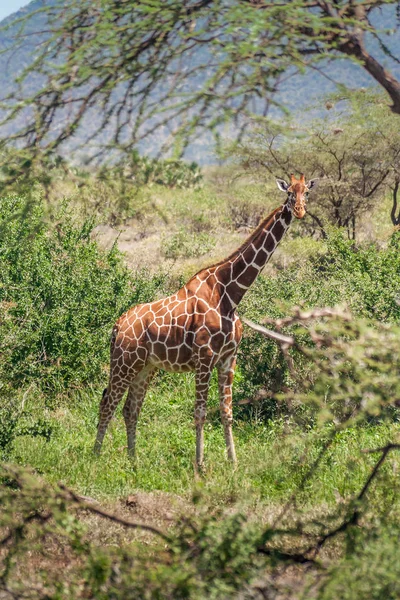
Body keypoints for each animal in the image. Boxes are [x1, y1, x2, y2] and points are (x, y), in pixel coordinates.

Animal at [94, 173, 316, 468]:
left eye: (307, 193)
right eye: (290, 193)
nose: (300, 211)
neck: (229, 294)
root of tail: (118, 325)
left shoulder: (228, 359)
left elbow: (226, 412)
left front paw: (233, 464)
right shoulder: (204, 357)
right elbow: (199, 413)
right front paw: (199, 465)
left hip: (146, 366)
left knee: (131, 408)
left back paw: (134, 461)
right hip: (124, 361)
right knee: (108, 402)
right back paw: (94, 458)